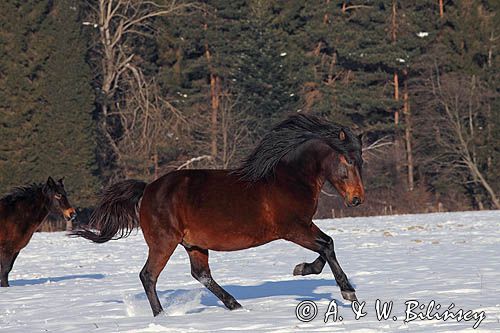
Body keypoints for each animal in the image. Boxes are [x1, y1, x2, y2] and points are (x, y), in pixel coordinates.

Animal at [73, 113, 364, 314]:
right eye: (348, 160)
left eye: (361, 161)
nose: (357, 199)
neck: (288, 179)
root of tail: (147, 190)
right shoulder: (294, 228)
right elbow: (327, 246)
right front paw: (348, 292)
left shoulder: (304, 226)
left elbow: (327, 246)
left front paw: (303, 269)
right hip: (163, 242)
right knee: (148, 275)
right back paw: (161, 316)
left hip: (194, 244)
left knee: (200, 274)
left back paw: (234, 305)